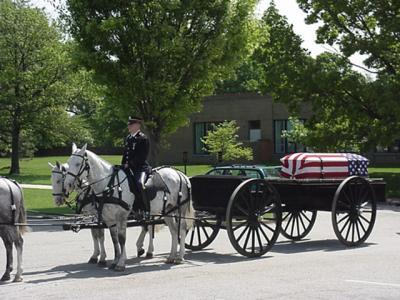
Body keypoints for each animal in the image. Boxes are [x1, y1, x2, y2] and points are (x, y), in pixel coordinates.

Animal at [62, 145, 192, 270]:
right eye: (68, 163)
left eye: (78, 164)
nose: (67, 186)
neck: (109, 185)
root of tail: (180, 174)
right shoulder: (109, 219)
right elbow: (114, 239)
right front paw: (115, 261)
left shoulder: (121, 216)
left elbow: (121, 238)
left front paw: (120, 263)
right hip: (168, 210)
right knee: (173, 231)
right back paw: (171, 256)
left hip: (180, 209)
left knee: (182, 229)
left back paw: (179, 257)